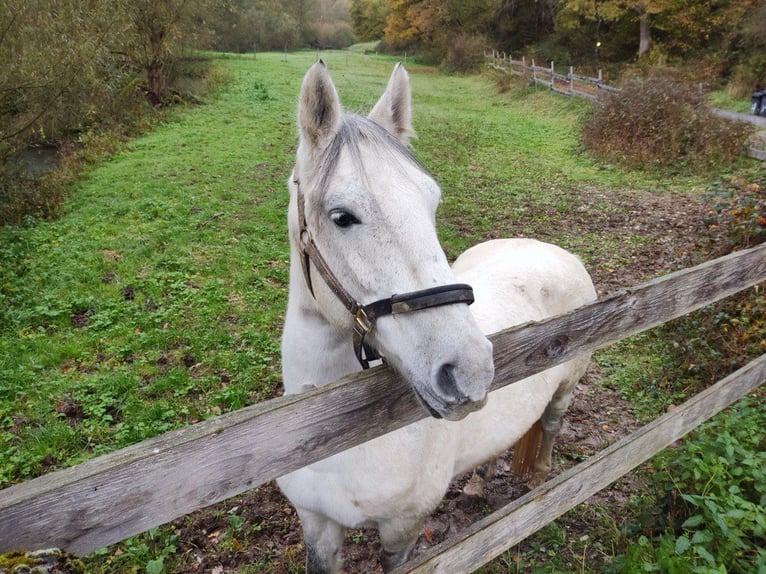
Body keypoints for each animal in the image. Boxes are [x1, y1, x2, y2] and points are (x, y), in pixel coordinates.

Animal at [276, 61, 597, 573]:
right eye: (342, 216)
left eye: (431, 203)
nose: (469, 372)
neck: (338, 442)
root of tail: (554, 250)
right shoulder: (317, 525)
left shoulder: (403, 531)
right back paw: (479, 481)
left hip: (566, 389)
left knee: (550, 425)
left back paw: (541, 477)